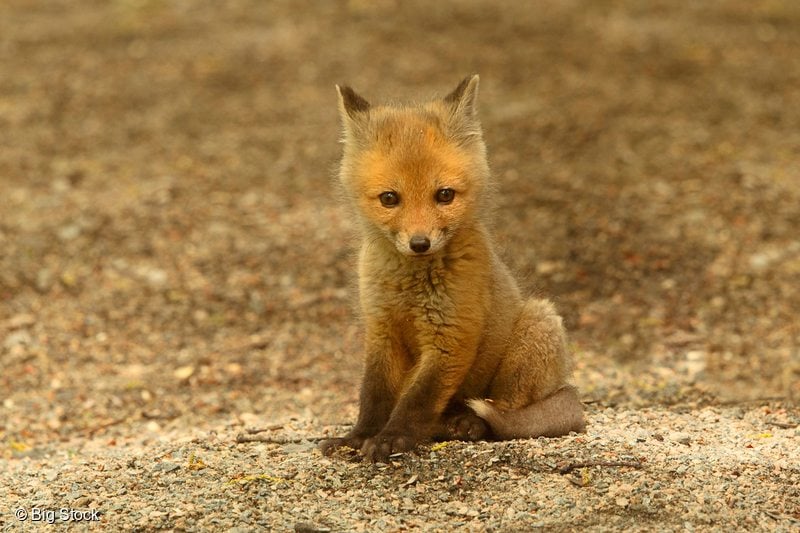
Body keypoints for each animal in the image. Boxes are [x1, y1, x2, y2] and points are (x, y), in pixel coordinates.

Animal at [320, 75, 588, 462]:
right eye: (389, 198)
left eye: (444, 195)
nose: (420, 243)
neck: (410, 288)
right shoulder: (381, 330)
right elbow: (374, 396)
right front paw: (359, 437)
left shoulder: (450, 336)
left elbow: (417, 400)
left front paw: (392, 438)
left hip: (537, 326)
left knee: (503, 414)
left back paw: (468, 424)